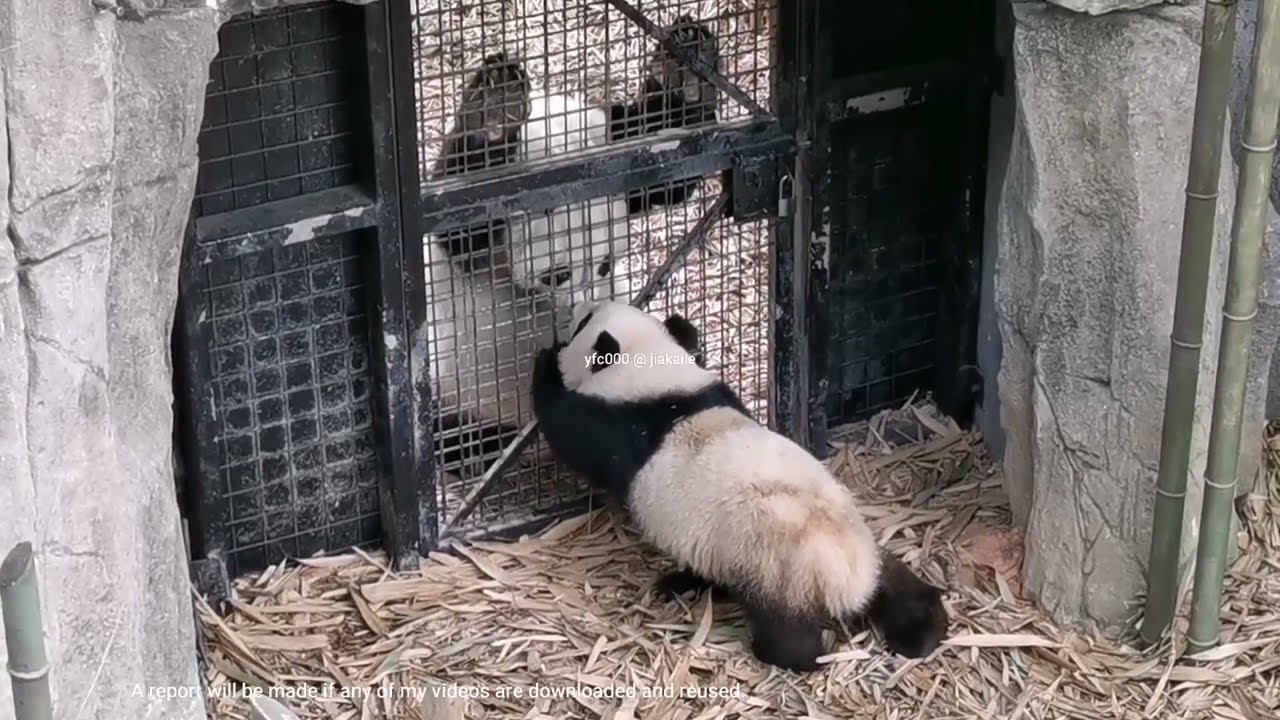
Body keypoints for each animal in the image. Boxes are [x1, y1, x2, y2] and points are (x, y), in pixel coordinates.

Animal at [424, 17, 723, 474]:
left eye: (605, 266)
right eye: (557, 275)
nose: (584, 314)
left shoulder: (606, 147)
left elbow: (667, 167)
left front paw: (686, 73)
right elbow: (462, 218)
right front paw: (494, 111)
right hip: (451, 380)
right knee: (453, 428)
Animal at [528, 300, 950, 672]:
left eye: (585, 322)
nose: (577, 309)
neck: (661, 382)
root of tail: (846, 584)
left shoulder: (622, 430)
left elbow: (570, 430)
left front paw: (546, 360)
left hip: (777, 573)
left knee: (788, 633)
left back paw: (794, 656)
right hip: (861, 550)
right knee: (898, 585)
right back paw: (923, 631)